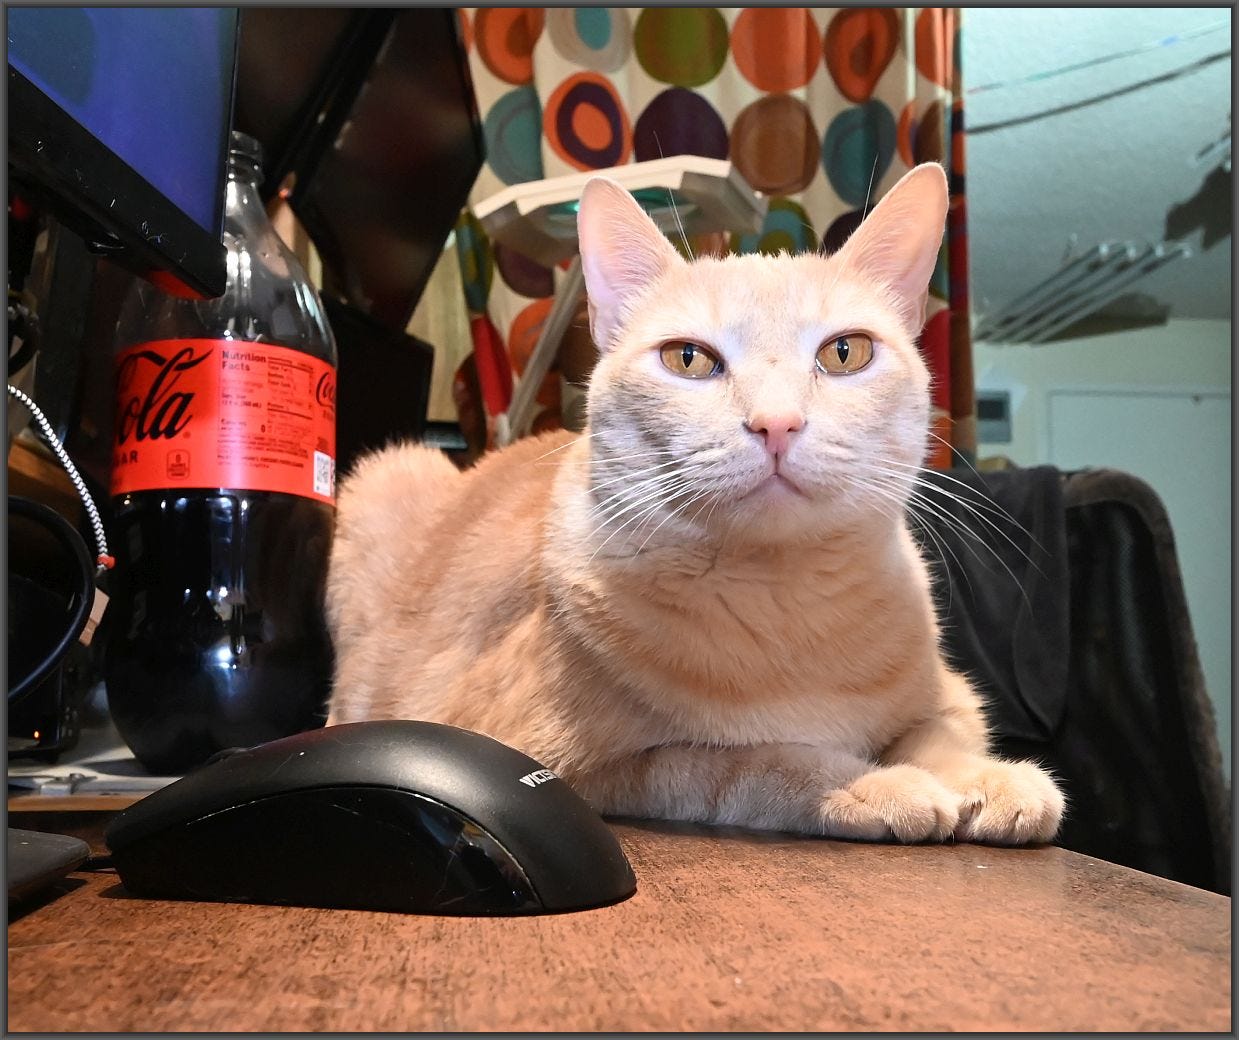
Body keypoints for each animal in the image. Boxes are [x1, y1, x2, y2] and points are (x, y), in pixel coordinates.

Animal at [325, 162, 1065, 845]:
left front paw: (991, 780)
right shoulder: (575, 764)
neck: (784, 605)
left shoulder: (951, 697)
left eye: (845, 352)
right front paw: (873, 784)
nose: (776, 424)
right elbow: (750, 762)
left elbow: (943, 733)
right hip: (386, 481)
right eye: (688, 359)